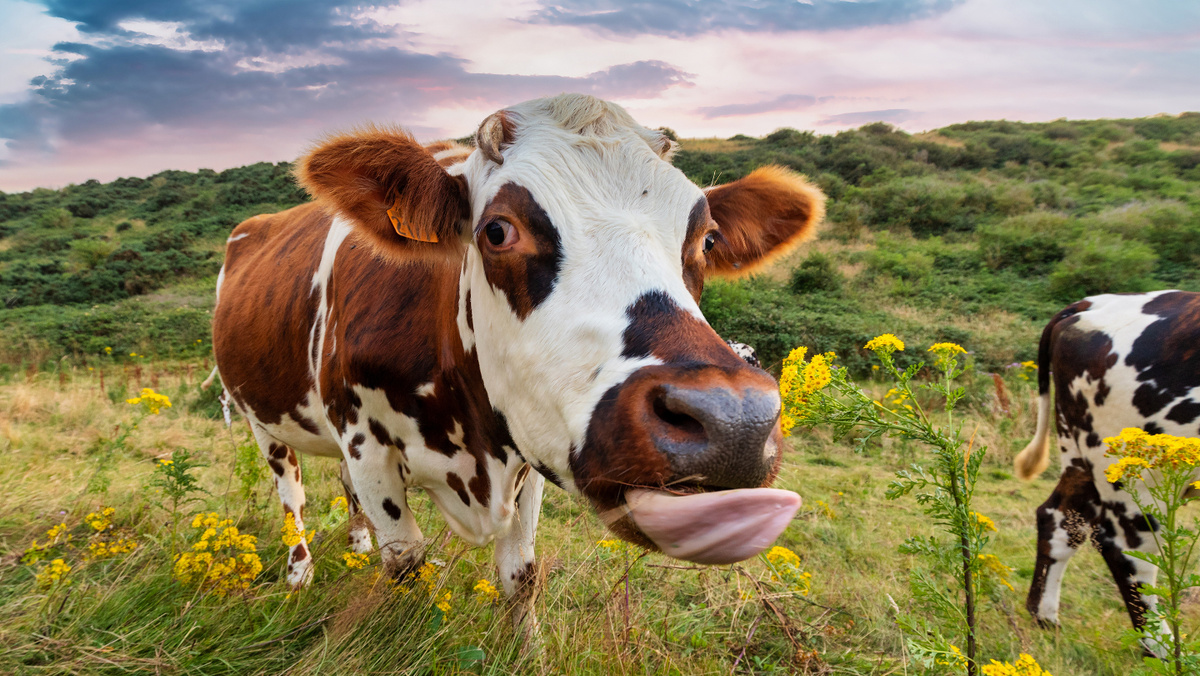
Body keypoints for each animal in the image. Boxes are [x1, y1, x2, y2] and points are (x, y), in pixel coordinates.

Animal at [211, 94, 821, 629]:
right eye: (498, 230)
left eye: (708, 240)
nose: (732, 420)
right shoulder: (366, 444)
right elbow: (406, 562)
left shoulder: (528, 446)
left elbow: (521, 575)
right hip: (257, 417)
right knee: (291, 493)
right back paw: (300, 572)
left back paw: (356, 542)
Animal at [1013, 290, 1200, 654]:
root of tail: (1093, 302)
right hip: (1135, 469)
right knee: (1128, 549)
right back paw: (1164, 651)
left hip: (1080, 453)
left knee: (1059, 517)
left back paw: (1045, 616)